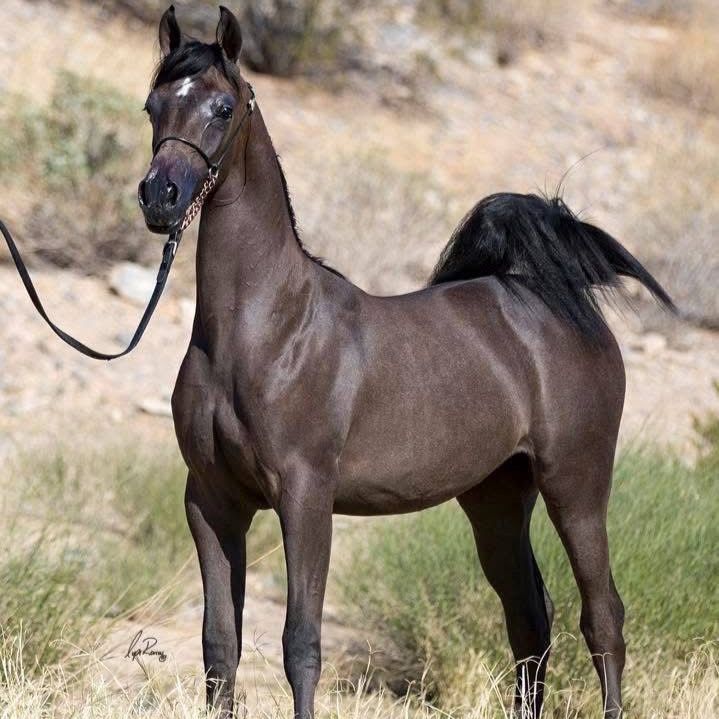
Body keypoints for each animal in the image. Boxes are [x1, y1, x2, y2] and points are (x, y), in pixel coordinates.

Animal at [137, 6, 674, 718]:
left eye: (223, 108)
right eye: (152, 106)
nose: (159, 196)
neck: (259, 333)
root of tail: (550, 301)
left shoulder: (305, 499)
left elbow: (300, 642)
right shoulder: (211, 501)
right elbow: (220, 648)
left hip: (577, 485)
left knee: (603, 617)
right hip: (497, 499)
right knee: (531, 619)